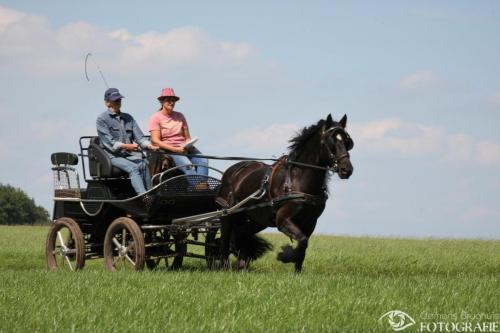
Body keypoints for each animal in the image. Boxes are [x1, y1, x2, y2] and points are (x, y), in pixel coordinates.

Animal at [217, 114, 354, 272]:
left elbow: (303, 246)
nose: (347, 169)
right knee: (225, 241)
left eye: (347, 141)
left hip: (257, 220)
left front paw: (297, 272)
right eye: (331, 141)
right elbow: (302, 241)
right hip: (228, 215)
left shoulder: (311, 222)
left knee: (241, 234)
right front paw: (285, 255)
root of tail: (232, 171)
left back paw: (242, 266)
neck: (297, 181)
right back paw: (225, 267)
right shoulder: (282, 220)